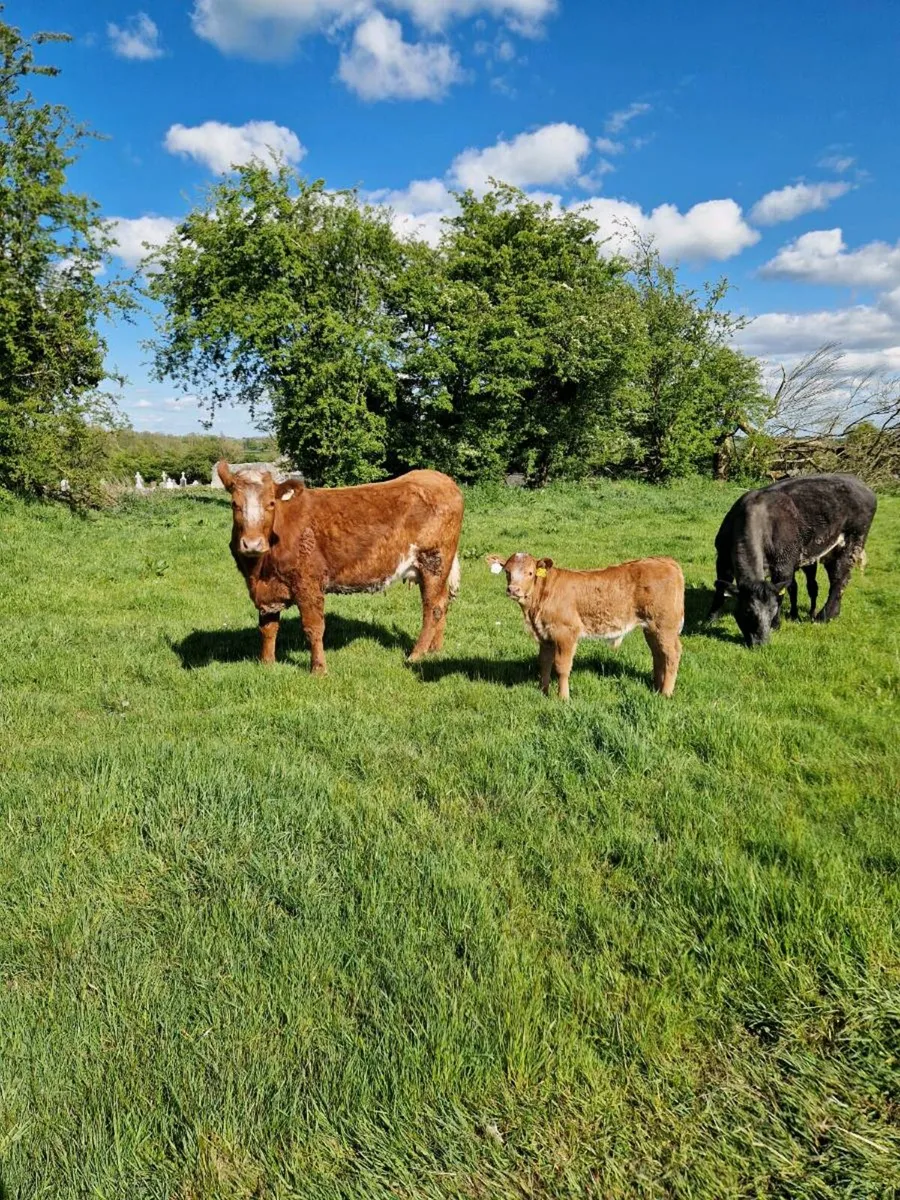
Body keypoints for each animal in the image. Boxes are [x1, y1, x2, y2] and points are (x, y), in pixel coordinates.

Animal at [216, 462, 464, 674]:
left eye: (271, 504)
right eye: (234, 504)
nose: (252, 544)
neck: (260, 571)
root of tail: (440, 478)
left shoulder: (308, 584)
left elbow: (313, 628)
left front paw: (318, 669)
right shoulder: (267, 589)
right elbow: (268, 628)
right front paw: (267, 664)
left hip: (433, 561)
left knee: (433, 608)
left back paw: (417, 654)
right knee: (442, 603)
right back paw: (435, 650)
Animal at [486, 552, 684, 699]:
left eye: (530, 573)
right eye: (507, 571)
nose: (513, 590)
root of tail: (664, 560)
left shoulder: (565, 633)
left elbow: (562, 666)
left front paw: (563, 697)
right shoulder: (545, 635)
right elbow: (544, 663)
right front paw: (543, 692)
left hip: (664, 626)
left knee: (672, 654)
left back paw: (666, 693)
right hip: (651, 627)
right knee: (658, 654)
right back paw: (657, 686)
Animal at [707, 473, 876, 647]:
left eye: (772, 610)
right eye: (748, 611)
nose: (761, 642)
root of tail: (860, 483)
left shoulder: (784, 566)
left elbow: (782, 595)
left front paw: (776, 624)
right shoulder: (722, 559)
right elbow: (720, 591)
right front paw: (710, 619)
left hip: (852, 542)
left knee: (839, 579)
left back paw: (824, 616)